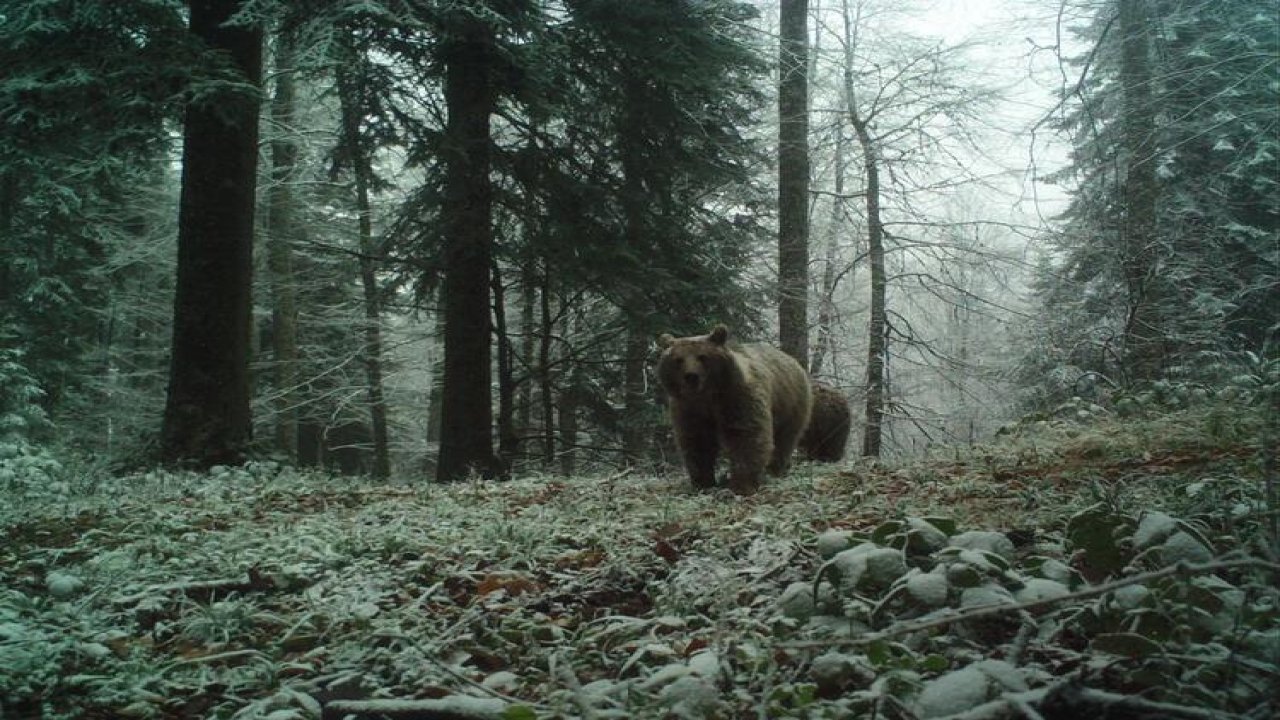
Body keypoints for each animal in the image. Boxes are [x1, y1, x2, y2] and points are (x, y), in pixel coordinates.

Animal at [655, 325, 814, 491]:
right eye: (678, 360)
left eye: (702, 356)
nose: (691, 376)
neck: (708, 396)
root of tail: (793, 361)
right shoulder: (688, 407)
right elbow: (698, 441)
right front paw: (703, 482)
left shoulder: (737, 398)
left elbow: (746, 436)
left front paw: (742, 484)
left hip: (791, 404)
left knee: (785, 439)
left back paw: (774, 471)